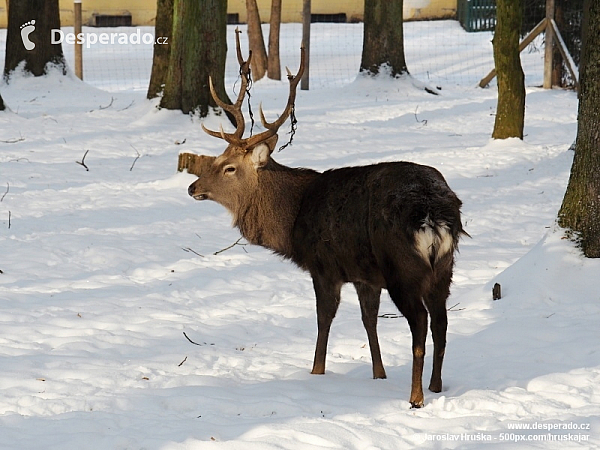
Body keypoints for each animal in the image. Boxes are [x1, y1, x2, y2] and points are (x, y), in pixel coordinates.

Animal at [180, 29, 466, 406]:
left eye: (228, 167)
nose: (192, 187)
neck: (292, 219)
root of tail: (433, 213)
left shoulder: (324, 265)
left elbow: (323, 319)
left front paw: (316, 372)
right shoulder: (364, 274)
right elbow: (369, 320)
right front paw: (378, 373)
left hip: (402, 267)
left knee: (420, 321)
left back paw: (416, 396)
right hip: (443, 268)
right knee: (441, 322)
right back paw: (435, 386)